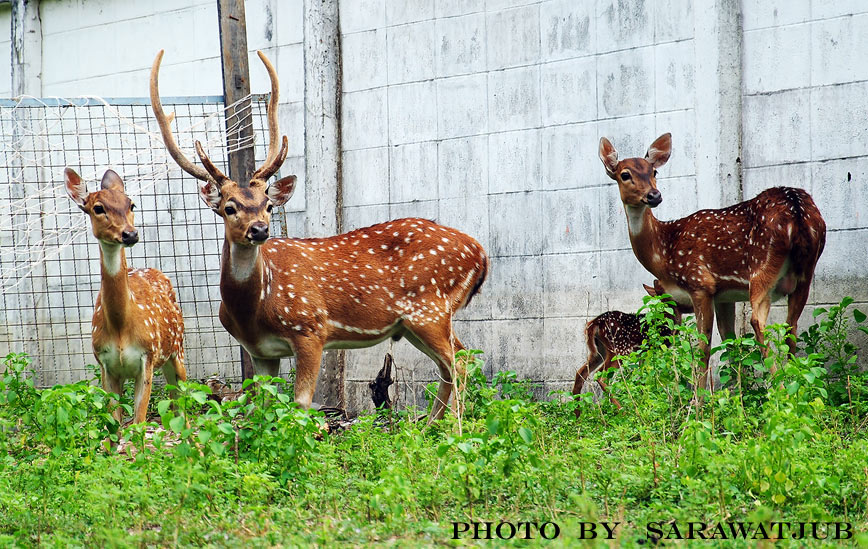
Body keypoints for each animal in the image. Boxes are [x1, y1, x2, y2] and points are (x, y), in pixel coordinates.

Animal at [64, 167, 186, 424]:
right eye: (98, 208)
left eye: (132, 204)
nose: (130, 234)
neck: (121, 328)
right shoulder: (105, 363)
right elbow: (115, 425)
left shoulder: (147, 356)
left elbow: (138, 422)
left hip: (177, 348)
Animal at [150, 50, 488, 420]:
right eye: (229, 207)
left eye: (268, 205)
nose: (260, 230)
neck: (252, 310)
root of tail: (480, 253)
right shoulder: (260, 351)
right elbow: (263, 407)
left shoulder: (310, 327)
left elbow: (300, 403)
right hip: (415, 322)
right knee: (451, 364)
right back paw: (430, 425)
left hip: (431, 308)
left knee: (461, 361)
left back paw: (450, 426)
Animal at [568, 280, 692, 414]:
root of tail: (595, 323)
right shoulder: (650, 349)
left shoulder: (642, 352)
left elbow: (642, 375)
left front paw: (644, 399)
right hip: (620, 349)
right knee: (600, 375)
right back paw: (623, 410)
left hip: (598, 351)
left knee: (581, 373)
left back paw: (577, 413)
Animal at [596, 132, 828, 390]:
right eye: (625, 174)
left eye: (653, 172)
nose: (654, 195)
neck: (664, 252)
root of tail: (797, 211)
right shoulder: (724, 295)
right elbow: (730, 342)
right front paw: (737, 393)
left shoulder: (700, 283)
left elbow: (703, 348)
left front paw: (700, 398)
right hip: (806, 271)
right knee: (791, 327)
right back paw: (795, 383)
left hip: (761, 267)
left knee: (759, 322)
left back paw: (779, 387)